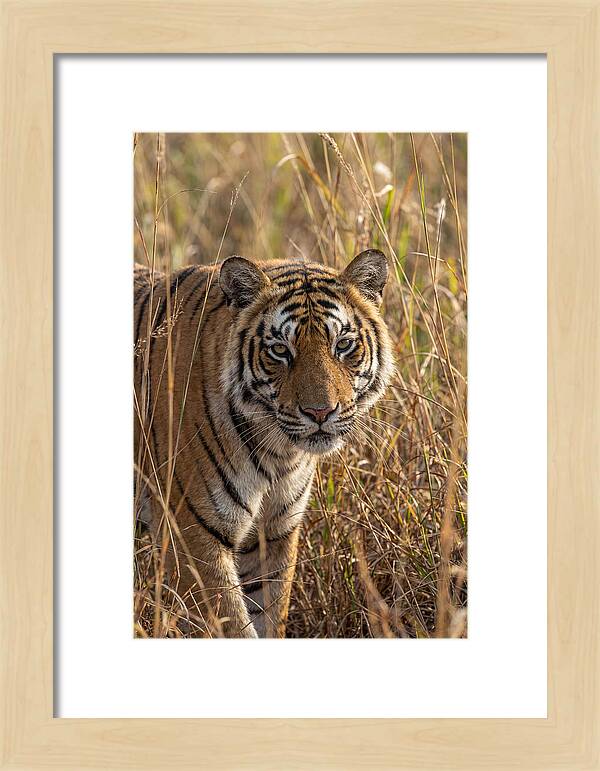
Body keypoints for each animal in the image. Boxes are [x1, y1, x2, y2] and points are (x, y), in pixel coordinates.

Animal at [134, 249, 393, 638]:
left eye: (343, 345)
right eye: (280, 350)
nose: (320, 412)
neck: (278, 454)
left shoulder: (273, 534)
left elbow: (270, 615)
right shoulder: (193, 536)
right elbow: (233, 627)